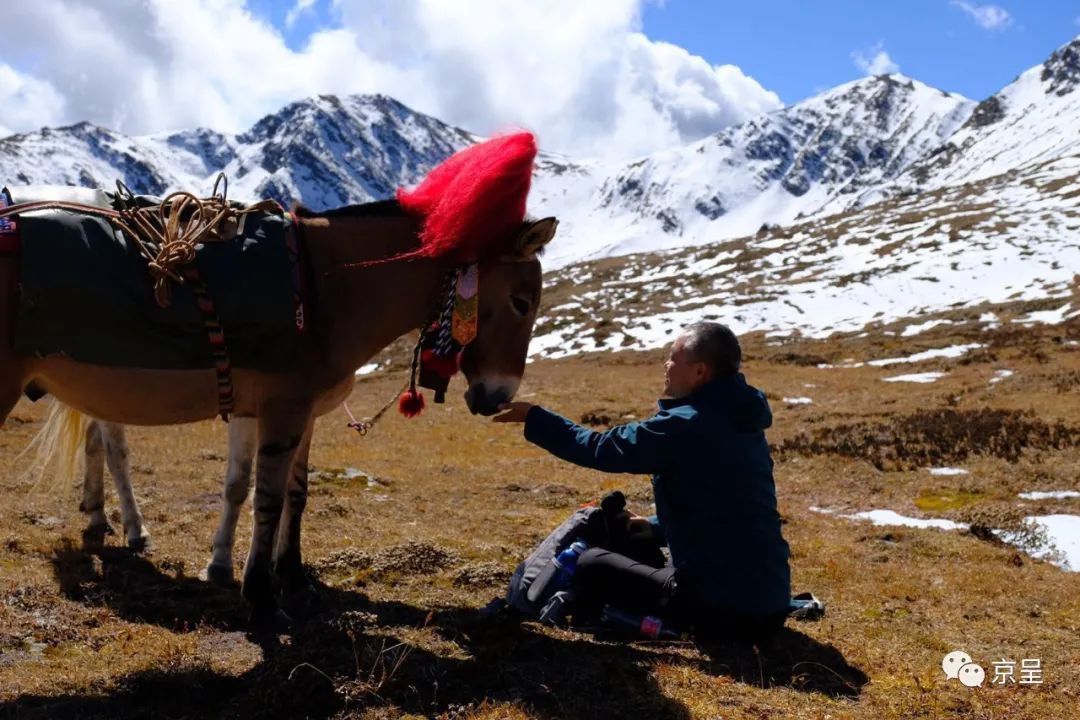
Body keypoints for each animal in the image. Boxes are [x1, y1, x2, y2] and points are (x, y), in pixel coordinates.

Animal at [0, 204, 557, 626]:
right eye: (521, 300)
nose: (496, 397)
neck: (318, 290)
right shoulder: (281, 410)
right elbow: (265, 497)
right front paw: (261, 594)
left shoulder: (302, 415)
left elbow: (296, 493)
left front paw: (291, 575)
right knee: (113, 450)